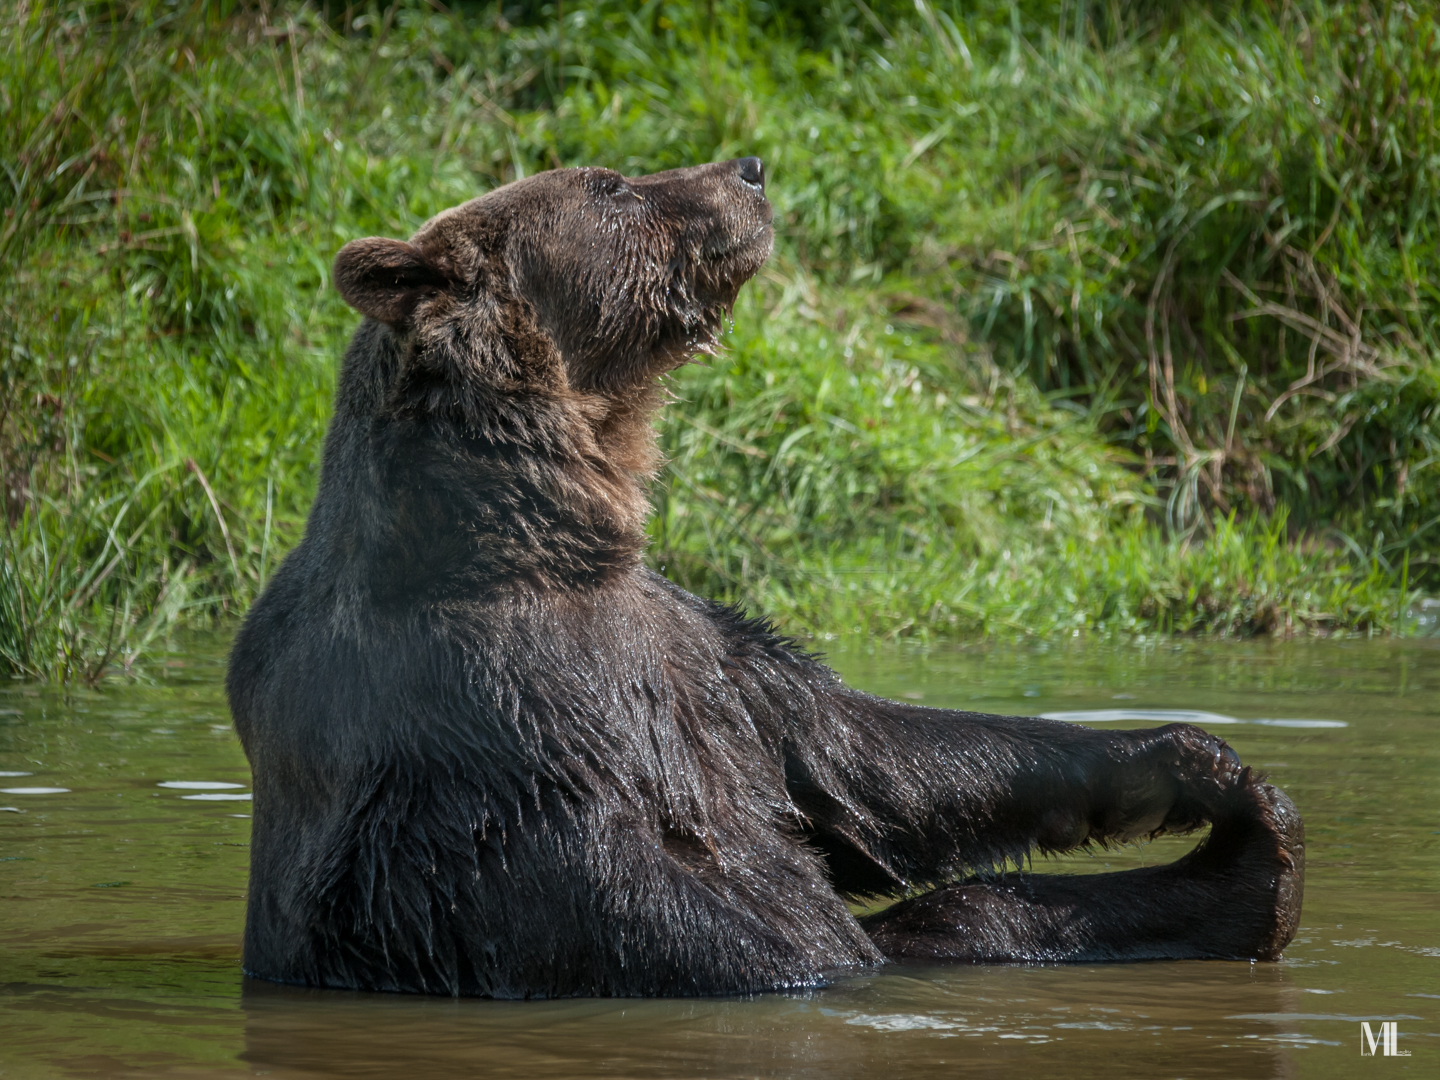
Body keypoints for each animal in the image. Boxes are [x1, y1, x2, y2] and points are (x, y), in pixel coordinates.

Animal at [224, 156, 1307, 1002]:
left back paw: (1249, 862)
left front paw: (1192, 764)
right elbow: (721, 912)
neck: (550, 530)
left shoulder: (701, 655)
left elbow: (871, 760)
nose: (746, 170)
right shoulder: (497, 721)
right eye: (609, 185)